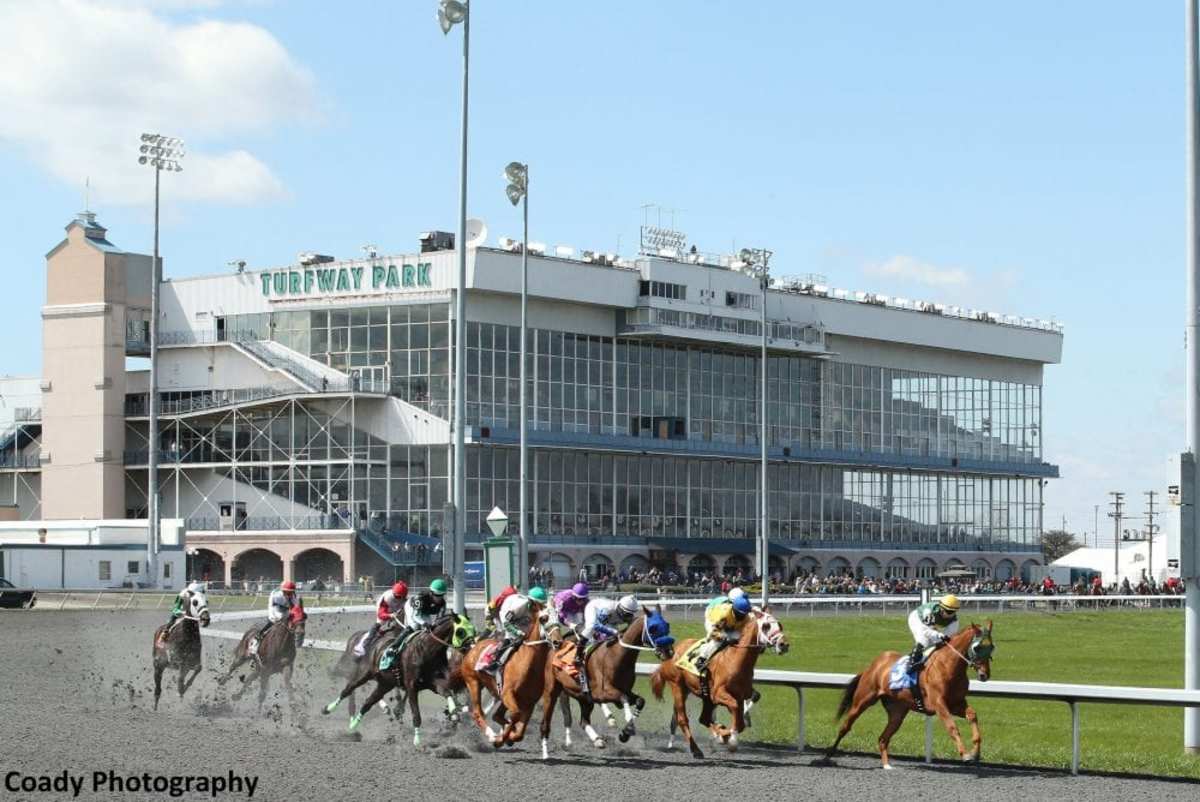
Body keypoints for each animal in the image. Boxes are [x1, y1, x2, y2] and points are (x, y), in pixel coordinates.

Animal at [451, 614, 554, 744]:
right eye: (545, 621)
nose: (558, 641)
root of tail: (471, 649)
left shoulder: (529, 702)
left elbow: (519, 732)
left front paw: (510, 735)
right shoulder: (507, 694)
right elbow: (515, 715)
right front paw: (501, 739)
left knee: (496, 715)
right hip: (473, 683)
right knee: (478, 713)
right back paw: (491, 735)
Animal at [537, 607, 676, 758]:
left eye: (667, 625)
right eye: (653, 628)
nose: (669, 652)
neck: (617, 656)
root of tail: (557, 645)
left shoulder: (624, 691)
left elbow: (640, 701)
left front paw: (625, 733)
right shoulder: (602, 693)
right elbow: (622, 697)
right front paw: (627, 725)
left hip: (583, 697)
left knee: (584, 720)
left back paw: (597, 740)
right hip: (555, 690)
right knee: (566, 715)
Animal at [652, 607, 792, 758]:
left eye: (780, 625)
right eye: (766, 626)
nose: (784, 644)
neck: (736, 660)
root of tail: (671, 653)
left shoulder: (740, 695)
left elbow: (741, 721)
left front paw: (726, 735)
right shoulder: (718, 694)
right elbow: (735, 709)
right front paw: (728, 737)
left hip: (705, 695)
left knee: (703, 718)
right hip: (678, 686)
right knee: (682, 719)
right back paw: (696, 749)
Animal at [825, 619, 993, 768]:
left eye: (991, 647)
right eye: (977, 647)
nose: (984, 675)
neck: (948, 666)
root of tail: (873, 666)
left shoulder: (956, 703)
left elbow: (972, 715)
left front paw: (976, 753)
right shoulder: (939, 704)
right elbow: (952, 727)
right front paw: (965, 755)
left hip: (897, 712)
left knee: (883, 738)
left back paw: (887, 765)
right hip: (862, 701)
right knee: (845, 727)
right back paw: (828, 755)